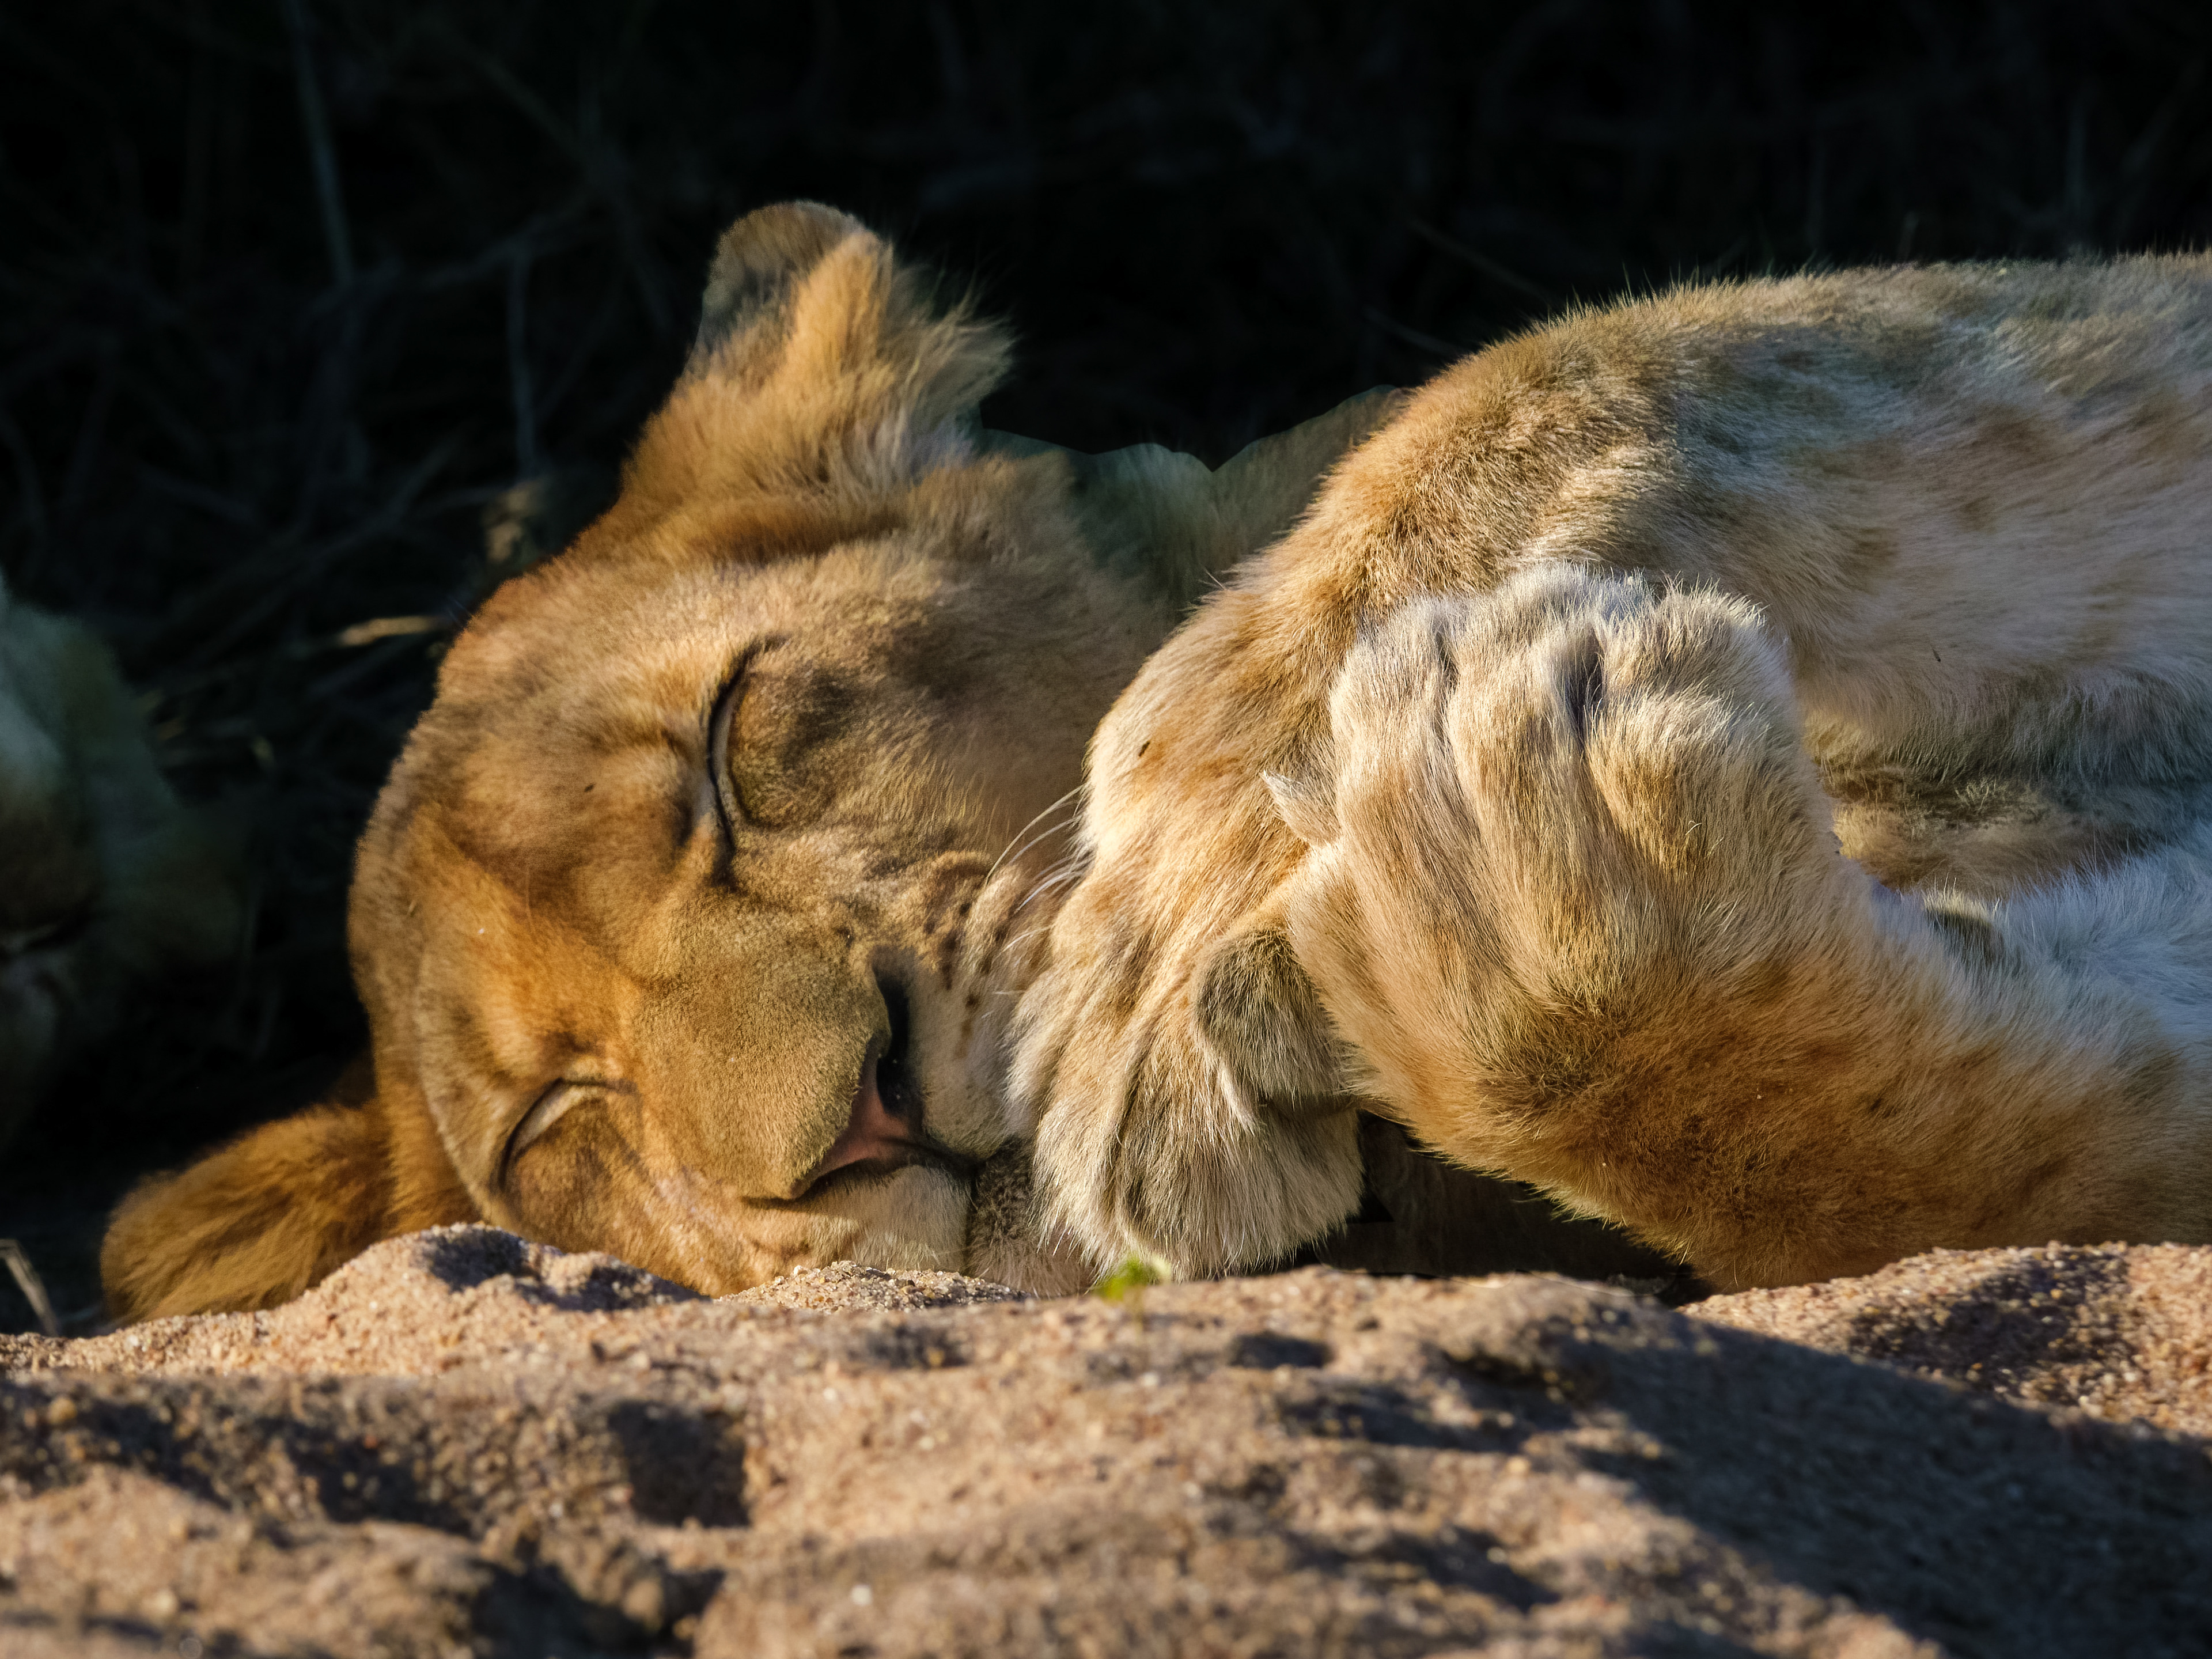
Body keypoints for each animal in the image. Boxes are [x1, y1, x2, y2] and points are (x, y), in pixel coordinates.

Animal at [101, 205, 2212, 1322]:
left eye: (732, 744)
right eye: (563, 1134)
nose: (854, 1121)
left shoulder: (2102, 340)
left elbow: (1571, 375)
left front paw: (1183, 906)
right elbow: (1974, 1146)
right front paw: (1541, 901)